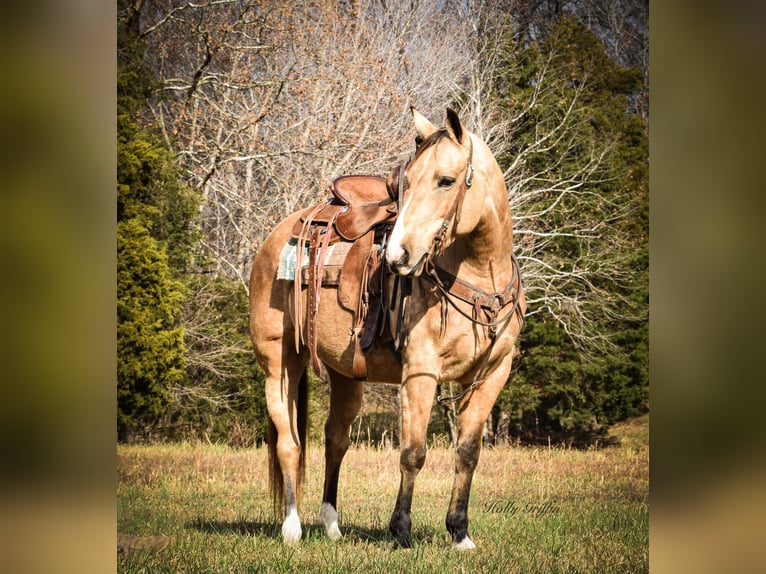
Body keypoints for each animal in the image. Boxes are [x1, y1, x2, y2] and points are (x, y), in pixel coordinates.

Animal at [252, 106, 528, 552]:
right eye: (407, 181)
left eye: (446, 180)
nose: (398, 255)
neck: (479, 275)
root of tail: (278, 235)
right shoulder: (420, 371)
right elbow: (413, 452)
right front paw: (401, 530)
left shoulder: (492, 374)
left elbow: (468, 452)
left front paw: (460, 532)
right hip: (279, 364)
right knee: (289, 444)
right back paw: (292, 528)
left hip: (345, 375)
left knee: (335, 440)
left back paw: (332, 525)